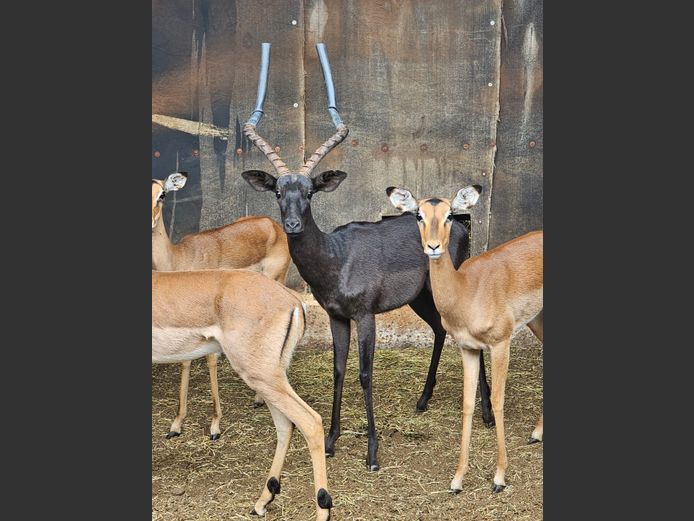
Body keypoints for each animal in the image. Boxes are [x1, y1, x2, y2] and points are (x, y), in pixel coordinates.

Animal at [152, 172, 291, 439]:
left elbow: (210, 361)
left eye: (162, 194)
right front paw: (176, 424)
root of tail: (271, 223)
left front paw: (215, 425)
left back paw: (259, 398)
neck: (181, 258)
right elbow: (185, 361)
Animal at [152, 269, 332, 520]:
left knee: (311, 422)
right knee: (286, 425)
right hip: (270, 378)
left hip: (260, 375)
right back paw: (262, 502)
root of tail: (293, 300)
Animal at [240, 42, 493, 471]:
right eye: (277, 192)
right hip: (423, 297)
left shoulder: (365, 315)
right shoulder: (336, 316)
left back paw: (489, 416)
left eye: (310, 192)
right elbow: (339, 370)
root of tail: (458, 222)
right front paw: (330, 440)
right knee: (440, 330)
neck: (335, 259)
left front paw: (372, 453)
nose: (292, 224)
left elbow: (365, 374)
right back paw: (423, 400)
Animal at [387, 184, 543, 493]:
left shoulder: (500, 344)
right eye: (419, 215)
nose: (433, 247)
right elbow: (468, 404)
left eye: (450, 215)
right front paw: (457, 480)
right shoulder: (468, 349)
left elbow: (497, 400)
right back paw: (536, 433)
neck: (467, 291)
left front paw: (499, 477)